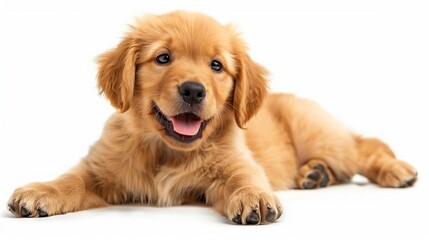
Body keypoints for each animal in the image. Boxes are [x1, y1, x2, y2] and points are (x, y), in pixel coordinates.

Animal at [7, 11, 414, 225]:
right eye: (163, 58)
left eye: (216, 65)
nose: (193, 90)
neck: (168, 151)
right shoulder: (101, 169)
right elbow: (71, 180)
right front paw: (40, 191)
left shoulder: (235, 163)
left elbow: (244, 178)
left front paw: (254, 198)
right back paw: (314, 174)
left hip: (320, 134)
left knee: (365, 146)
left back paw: (396, 170)